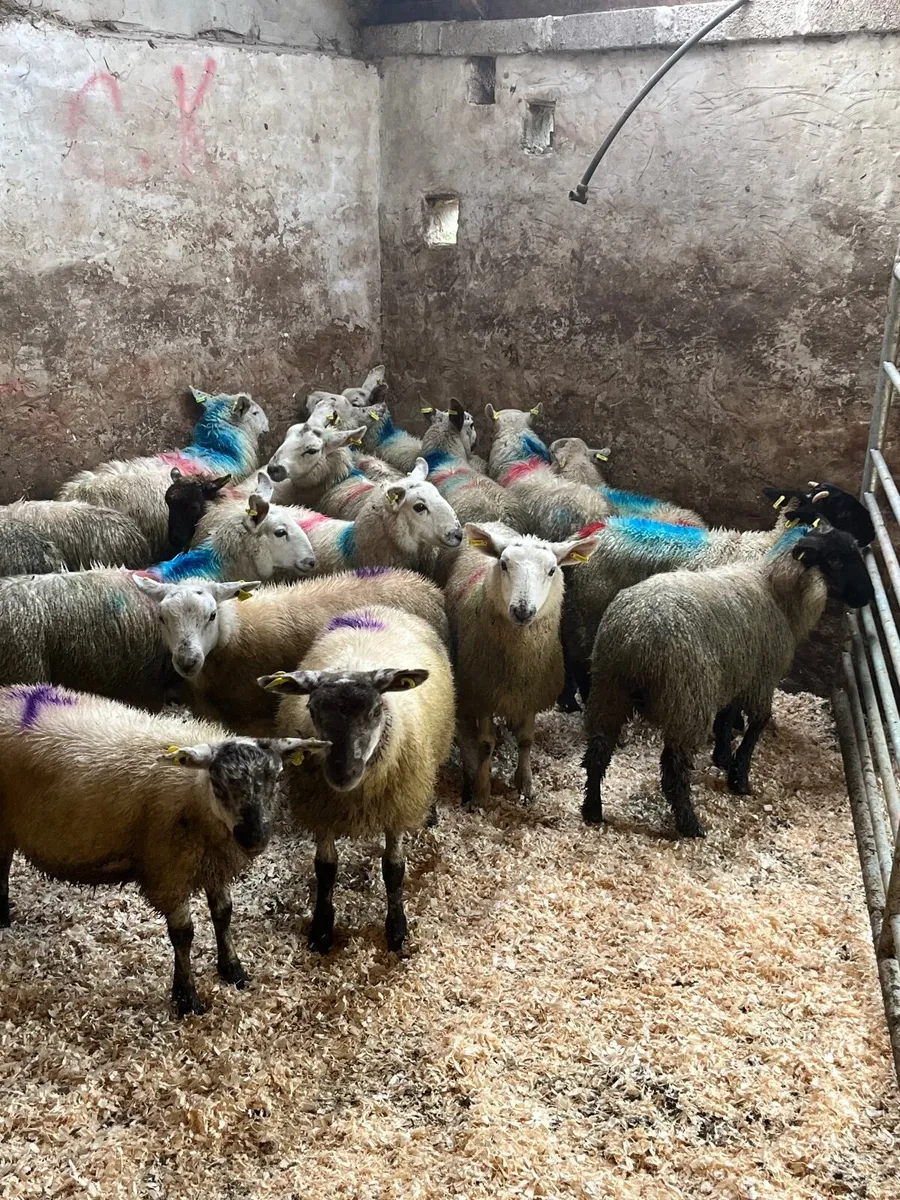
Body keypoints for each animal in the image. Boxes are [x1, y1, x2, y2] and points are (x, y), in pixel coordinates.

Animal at [0, 685, 326, 1014]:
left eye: (276, 778)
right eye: (218, 785)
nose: (254, 838)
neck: (196, 796)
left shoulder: (212, 863)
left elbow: (223, 913)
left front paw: (233, 969)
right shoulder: (169, 870)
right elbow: (183, 933)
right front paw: (187, 997)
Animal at [259, 604, 454, 952]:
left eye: (376, 711)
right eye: (312, 709)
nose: (342, 773)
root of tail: (379, 607)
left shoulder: (396, 807)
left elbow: (393, 869)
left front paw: (397, 929)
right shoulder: (322, 811)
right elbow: (325, 869)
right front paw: (322, 928)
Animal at [445, 522, 600, 809]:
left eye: (552, 570)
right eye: (504, 564)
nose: (522, 610)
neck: (517, 664)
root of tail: (493, 522)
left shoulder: (530, 694)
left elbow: (526, 740)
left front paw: (525, 784)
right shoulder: (483, 692)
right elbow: (485, 744)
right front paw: (481, 792)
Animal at [582, 524, 873, 837]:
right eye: (835, 560)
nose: (867, 596)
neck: (776, 592)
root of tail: (636, 636)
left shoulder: (737, 673)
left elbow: (726, 717)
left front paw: (722, 756)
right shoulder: (760, 679)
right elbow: (757, 724)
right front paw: (739, 776)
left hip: (609, 689)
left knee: (597, 752)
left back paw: (592, 810)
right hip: (686, 699)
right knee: (673, 769)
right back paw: (690, 824)